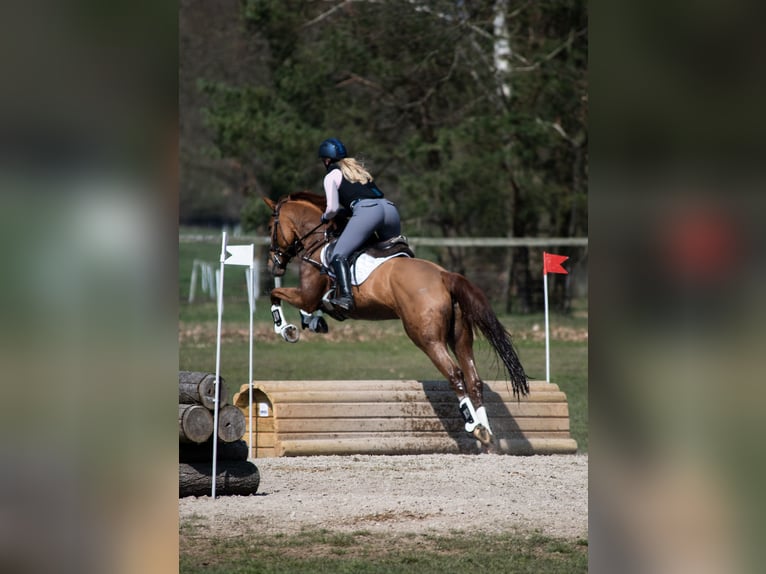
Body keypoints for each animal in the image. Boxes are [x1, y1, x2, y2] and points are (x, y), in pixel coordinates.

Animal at [264, 191, 528, 448]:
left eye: (270, 228)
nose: (272, 266)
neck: (318, 242)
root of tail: (444, 275)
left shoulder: (308, 296)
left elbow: (275, 293)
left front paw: (286, 329)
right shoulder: (313, 299)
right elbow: (307, 307)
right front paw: (312, 322)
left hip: (426, 338)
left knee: (455, 374)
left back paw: (474, 426)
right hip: (460, 336)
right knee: (474, 379)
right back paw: (486, 432)